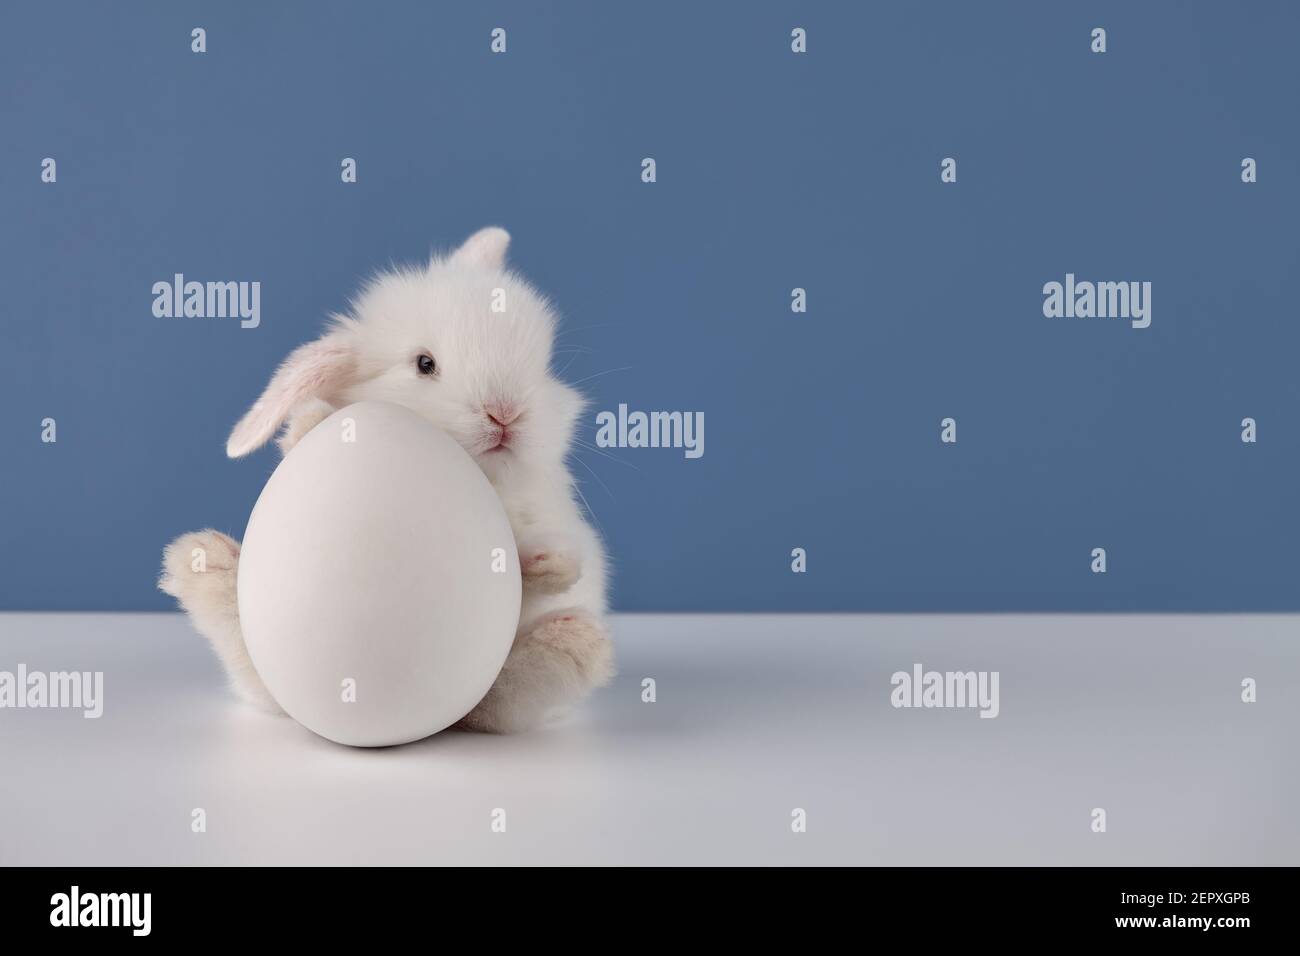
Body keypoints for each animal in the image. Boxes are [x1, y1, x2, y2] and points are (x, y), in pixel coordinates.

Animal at [158, 227, 613, 738]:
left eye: (543, 368)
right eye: (424, 364)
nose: (506, 414)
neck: (487, 477)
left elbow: (544, 563)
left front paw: (548, 562)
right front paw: (306, 425)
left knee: (499, 703)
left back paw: (572, 642)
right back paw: (203, 562)